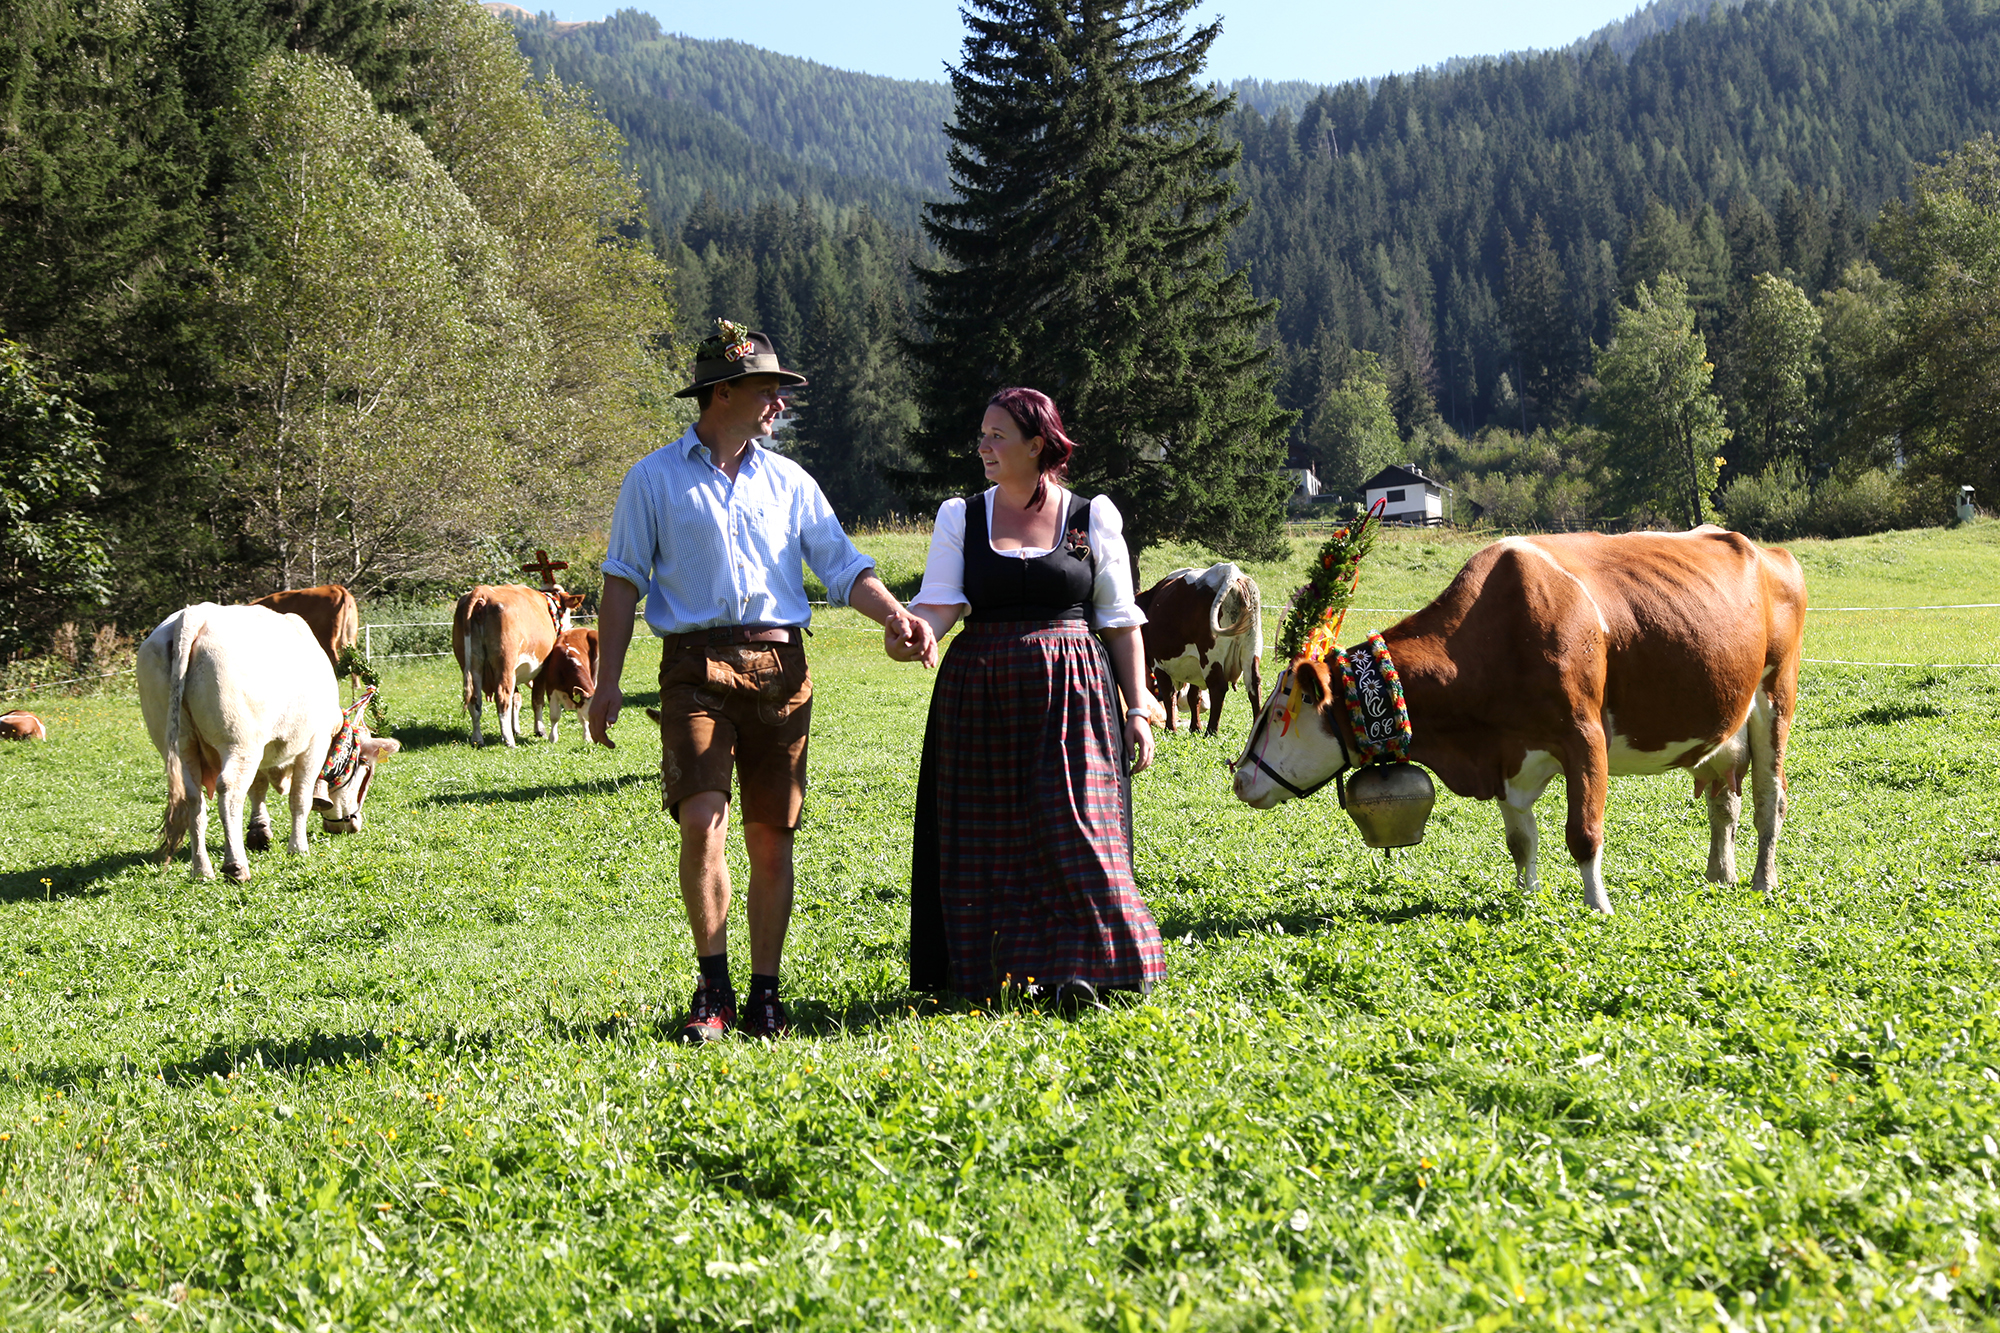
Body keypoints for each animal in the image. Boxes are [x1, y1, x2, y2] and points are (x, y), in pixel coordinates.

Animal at [139, 596, 400, 876]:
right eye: (364, 772)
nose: (353, 825)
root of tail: (194, 615)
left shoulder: (263, 748)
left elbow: (258, 787)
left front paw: (259, 832)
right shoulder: (313, 745)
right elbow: (300, 797)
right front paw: (298, 848)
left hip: (181, 744)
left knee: (193, 798)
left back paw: (202, 869)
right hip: (239, 743)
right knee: (230, 791)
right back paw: (236, 866)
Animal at [1144, 556, 1264, 732]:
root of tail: (1228, 570)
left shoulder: (1158, 664)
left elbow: (1169, 695)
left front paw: (1171, 728)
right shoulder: (1194, 666)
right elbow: (1194, 695)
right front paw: (1195, 727)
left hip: (1210, 655)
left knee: (1218, 687)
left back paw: (1211, 731)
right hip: (1250, 649)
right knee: (1254, 686)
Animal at [1232, 528, 1816, 912]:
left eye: (1283, 707)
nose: (1240, 779)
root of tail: (1768, 550)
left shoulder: (1584, 737)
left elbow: (1583, 833)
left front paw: (1599, 907)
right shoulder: (1508, 755)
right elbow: (1521, 838)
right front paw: (1529, 897)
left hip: (1775, 698)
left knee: (1770, 799)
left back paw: (1763, 882)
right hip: (1724, 724)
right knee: (1724, 802)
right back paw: (1721, 875)